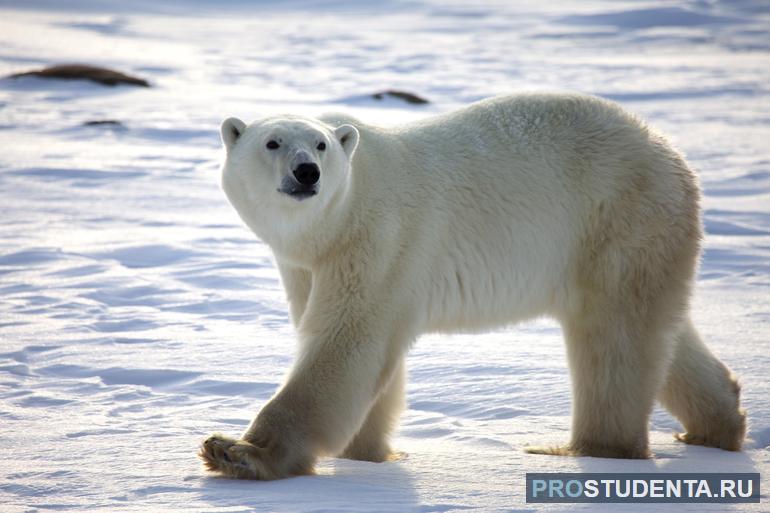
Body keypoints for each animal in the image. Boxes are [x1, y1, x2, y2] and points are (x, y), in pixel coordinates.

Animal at [198, 93, 744, 480]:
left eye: (321, 146)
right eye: (272, 143)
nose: (306, 172)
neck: (337, 219)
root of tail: (670, 152)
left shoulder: (380, 236)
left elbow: (346, 343)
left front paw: (237, 451)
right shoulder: (307, 265)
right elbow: (371, 357)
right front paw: (367, 455)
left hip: (616, 217)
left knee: (612, 340)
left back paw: (586, 450)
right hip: (639, 237)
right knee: (660, 331)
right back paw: (717, 425)